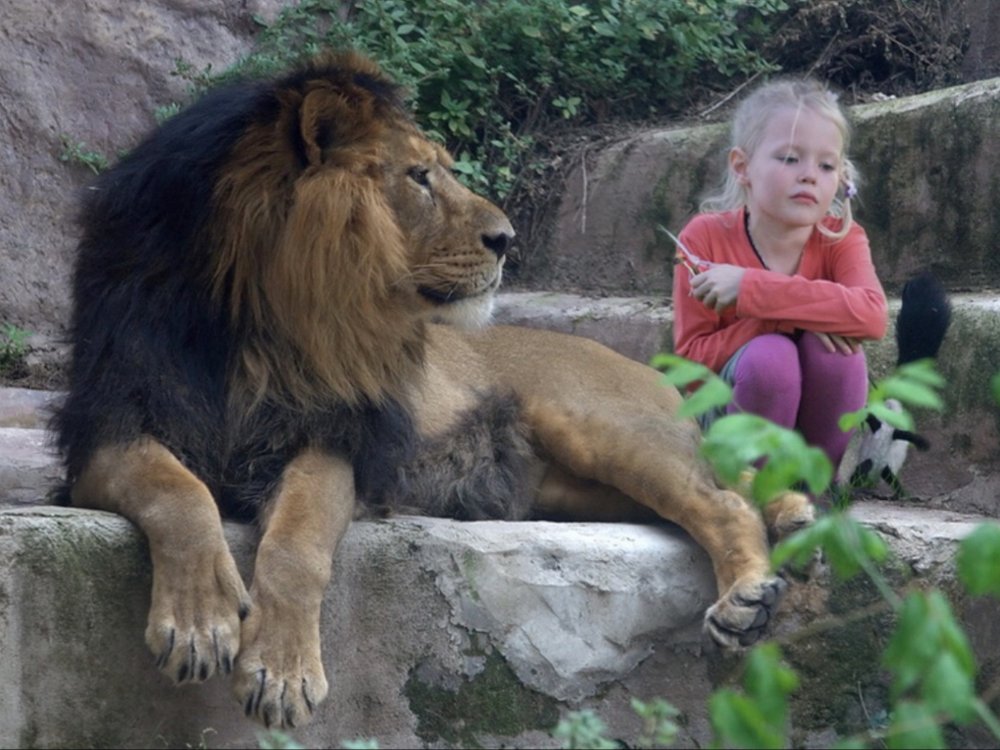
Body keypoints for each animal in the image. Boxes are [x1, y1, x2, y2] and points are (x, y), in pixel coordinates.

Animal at [52, 51, 812, 728]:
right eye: (418, 177)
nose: (508, 238)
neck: (258, 321)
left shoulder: (338, 439)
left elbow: (298, 546)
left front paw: (282, 673)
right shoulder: (108, 427)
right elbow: (178, 493)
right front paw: (200, 622)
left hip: (600, 425)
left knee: (723, 501)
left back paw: (750, 596)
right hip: (579, 484)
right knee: (731, 483)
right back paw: (794, 519)